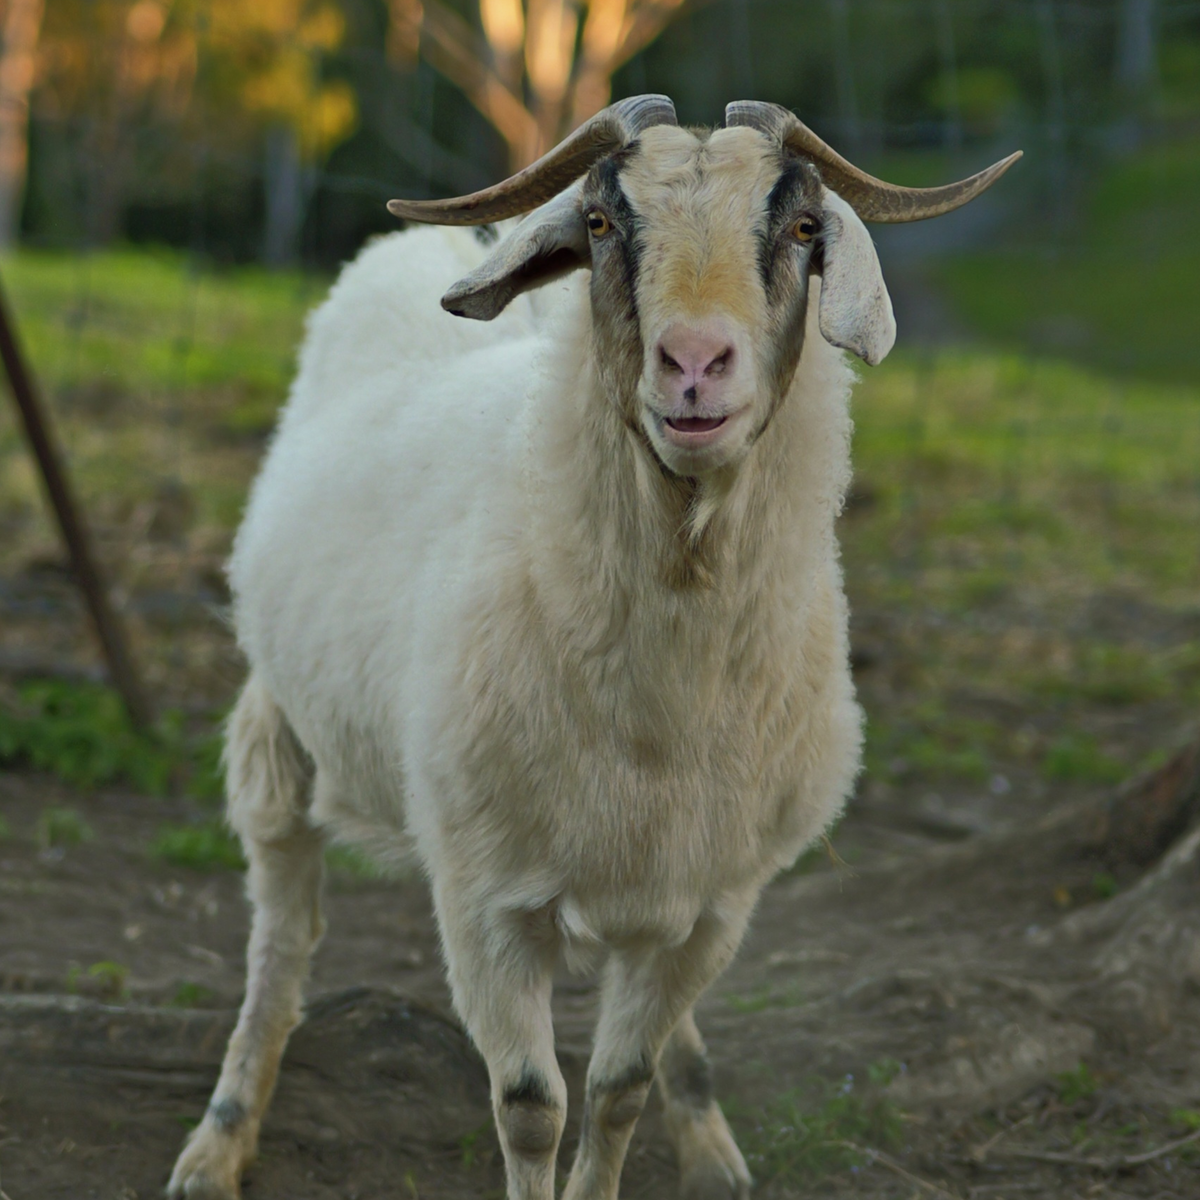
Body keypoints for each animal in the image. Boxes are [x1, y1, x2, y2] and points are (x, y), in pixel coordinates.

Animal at [168, 96, 1018, 1200]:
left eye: (799, 228)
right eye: (606, 224)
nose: (694, 365)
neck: (665, 705)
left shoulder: (713, 902)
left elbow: (619, 1087)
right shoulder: (484, 898)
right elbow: (532, 1105)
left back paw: (710, 1139)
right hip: (278, 728)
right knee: (278, 941)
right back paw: (217, 1142)